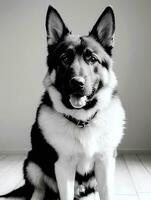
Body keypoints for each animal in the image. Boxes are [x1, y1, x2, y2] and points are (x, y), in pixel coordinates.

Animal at [0, 4, 125, 200]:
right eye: (65, 59)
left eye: (92, 59)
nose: (77, 83)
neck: (82, 120)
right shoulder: (63, 167)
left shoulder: (105, 163)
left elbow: (107, 193)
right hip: (32, 163)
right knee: (38, 190)